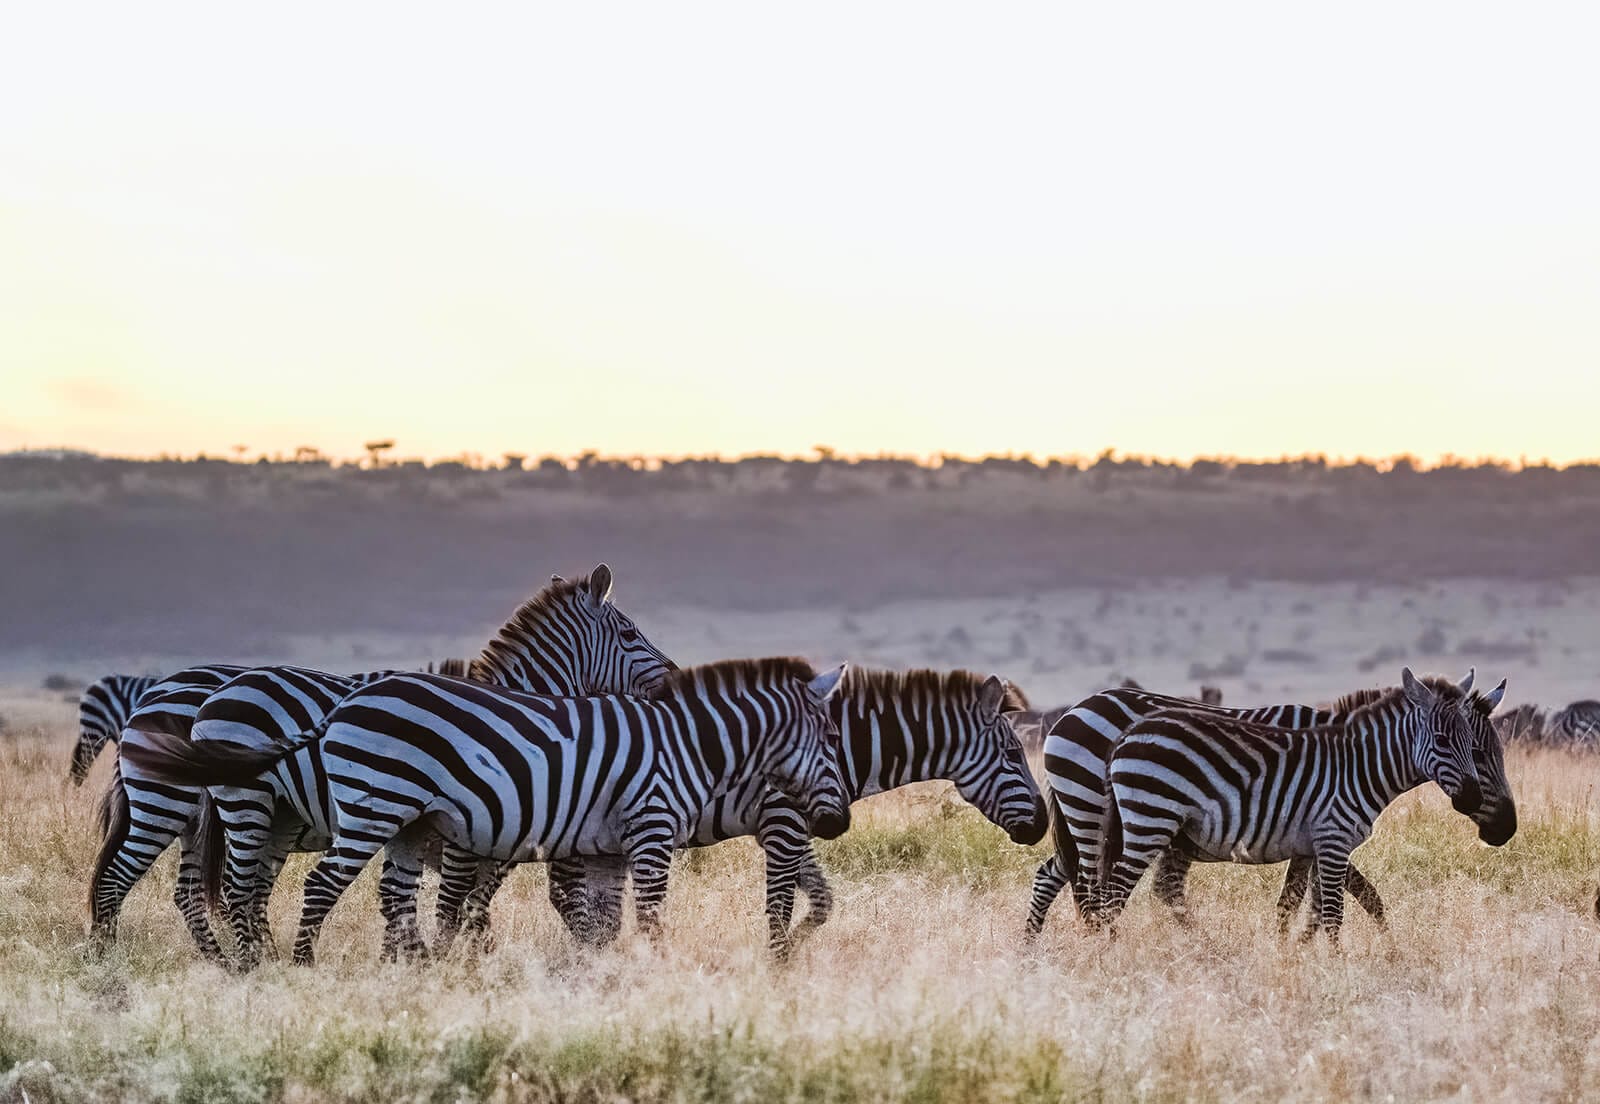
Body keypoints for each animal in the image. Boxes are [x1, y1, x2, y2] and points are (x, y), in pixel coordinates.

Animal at [121, 658, 853, 965]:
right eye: (832, 738)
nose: (838, 824)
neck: (686, 747)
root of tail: (343, 705)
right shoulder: (648, 829)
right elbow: (646, 912)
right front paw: (657, 968)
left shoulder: (605, 845)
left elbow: (601, 920)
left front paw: (605, 976)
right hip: (367, 806)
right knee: (316, 884)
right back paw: (297, 965)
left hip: (402, 819)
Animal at [479, 667, 1049, 960]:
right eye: (1012, 755)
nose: (1044, 825)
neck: (841, 748)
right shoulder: (784, 823)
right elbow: (779, 908)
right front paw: (777, 968)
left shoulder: (793, 828)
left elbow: (822, 903)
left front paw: (791, 955)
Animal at [1026, 670, 1509, 935]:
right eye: (1480, 752)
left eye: (1494, 751)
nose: (1506, 829)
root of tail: (1071, 712)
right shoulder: (1323, 829)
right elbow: (1351, 899)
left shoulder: (1309, 835)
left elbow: (1309, 902)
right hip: (1095, 810)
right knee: (1093, 889)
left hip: (1090, 818)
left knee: (1057, 876)